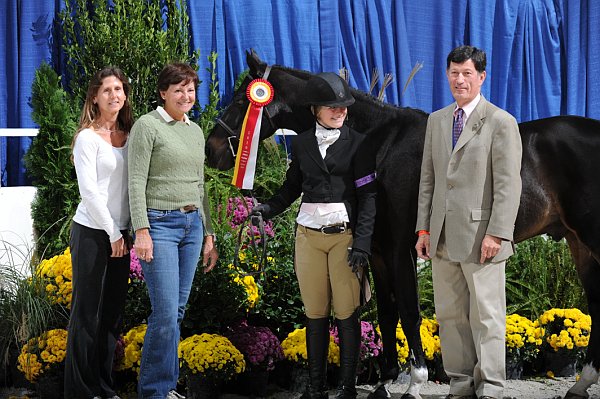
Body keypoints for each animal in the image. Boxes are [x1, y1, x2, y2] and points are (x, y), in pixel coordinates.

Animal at [205, 50, 600, 399]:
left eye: (241, 99)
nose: (212, 150)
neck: (381, 145)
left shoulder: (401, 249)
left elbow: (409, 312)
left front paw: (415, 383)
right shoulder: (376, 251)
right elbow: (386, 312)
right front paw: (385, 381)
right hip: (580, 245)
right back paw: (580, 384)